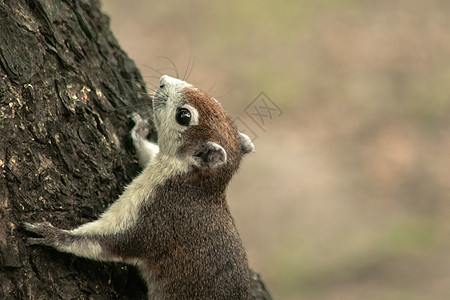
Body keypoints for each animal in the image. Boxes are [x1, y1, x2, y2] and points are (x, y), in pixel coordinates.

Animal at [24, 75, 255, 300]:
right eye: (217, 103)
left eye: (184, 116)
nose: (163, 81)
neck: (196, 183)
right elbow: (148, 152)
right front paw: (140, 133)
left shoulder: (159, 216)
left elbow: (111, 242)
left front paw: (55, 235)